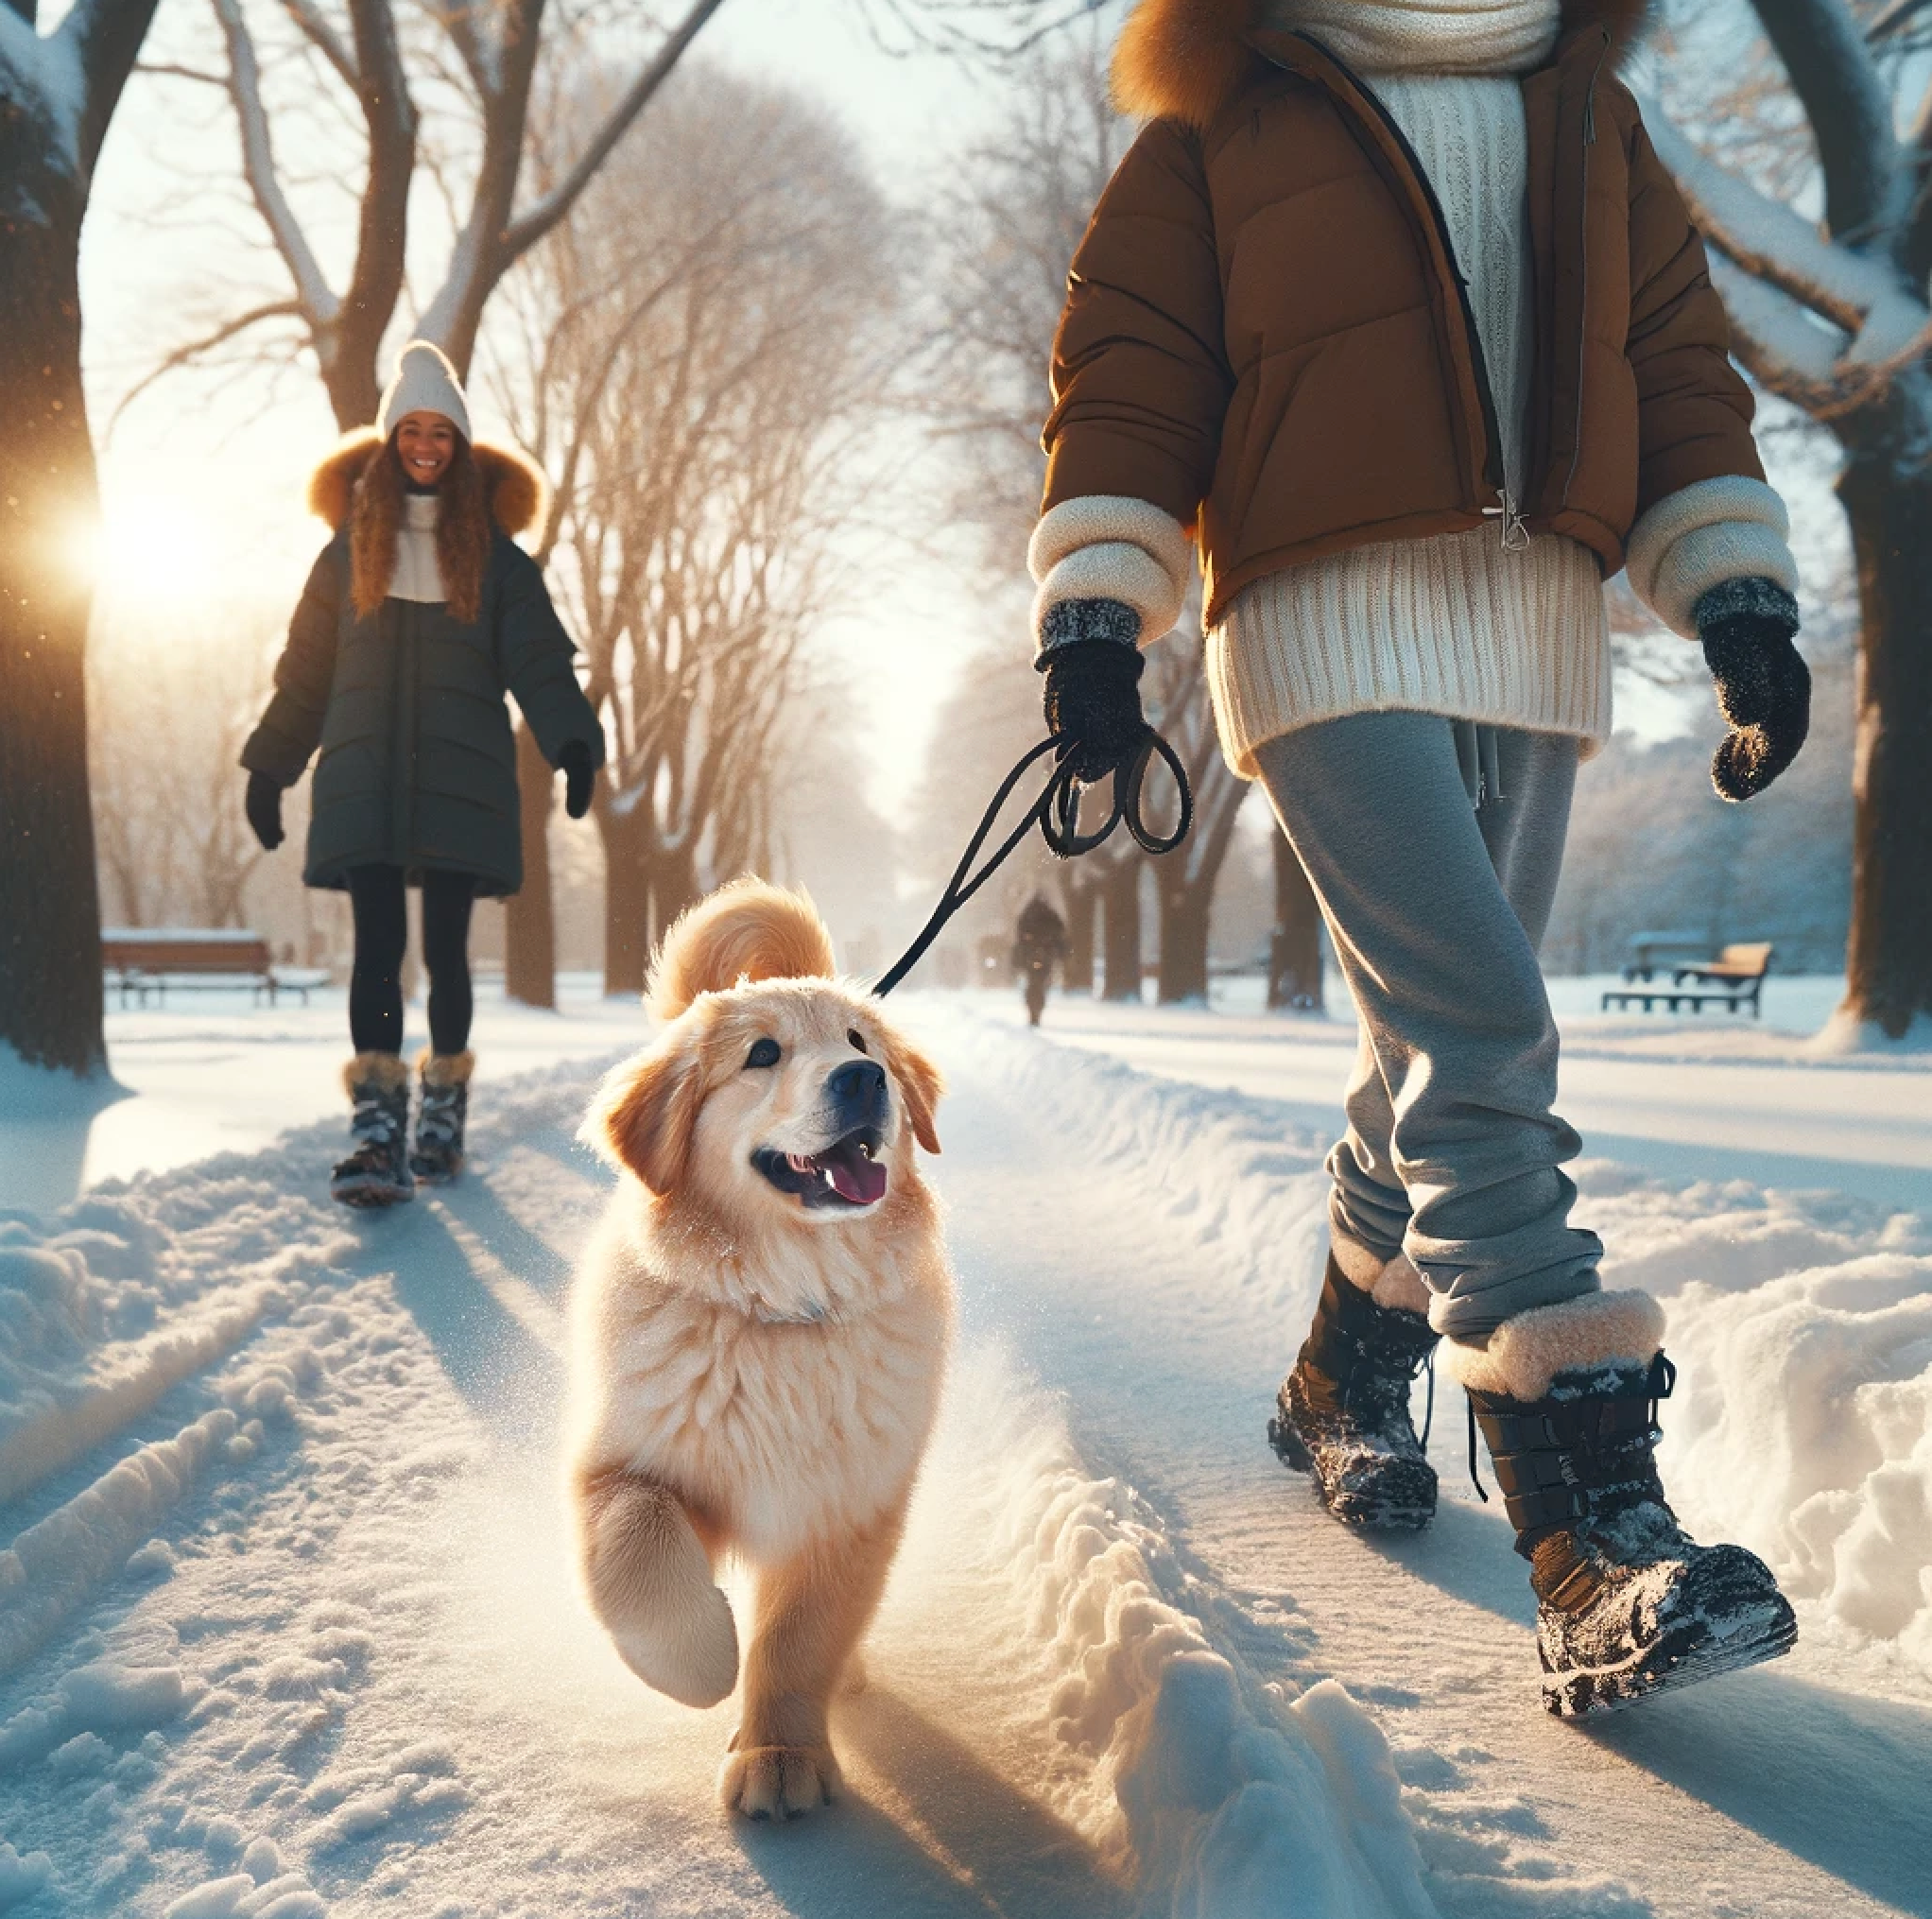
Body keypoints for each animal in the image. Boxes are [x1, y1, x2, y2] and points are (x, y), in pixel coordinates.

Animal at [560, 877, 950, 1816]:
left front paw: (780, 1751)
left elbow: (800, 1640)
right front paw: (702, 1664)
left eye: (860, 1042)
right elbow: (637, 1551)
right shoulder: (619, 1462)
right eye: (763, 1054)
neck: (783, 1308)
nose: (864, 1077)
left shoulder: (846, 1508)